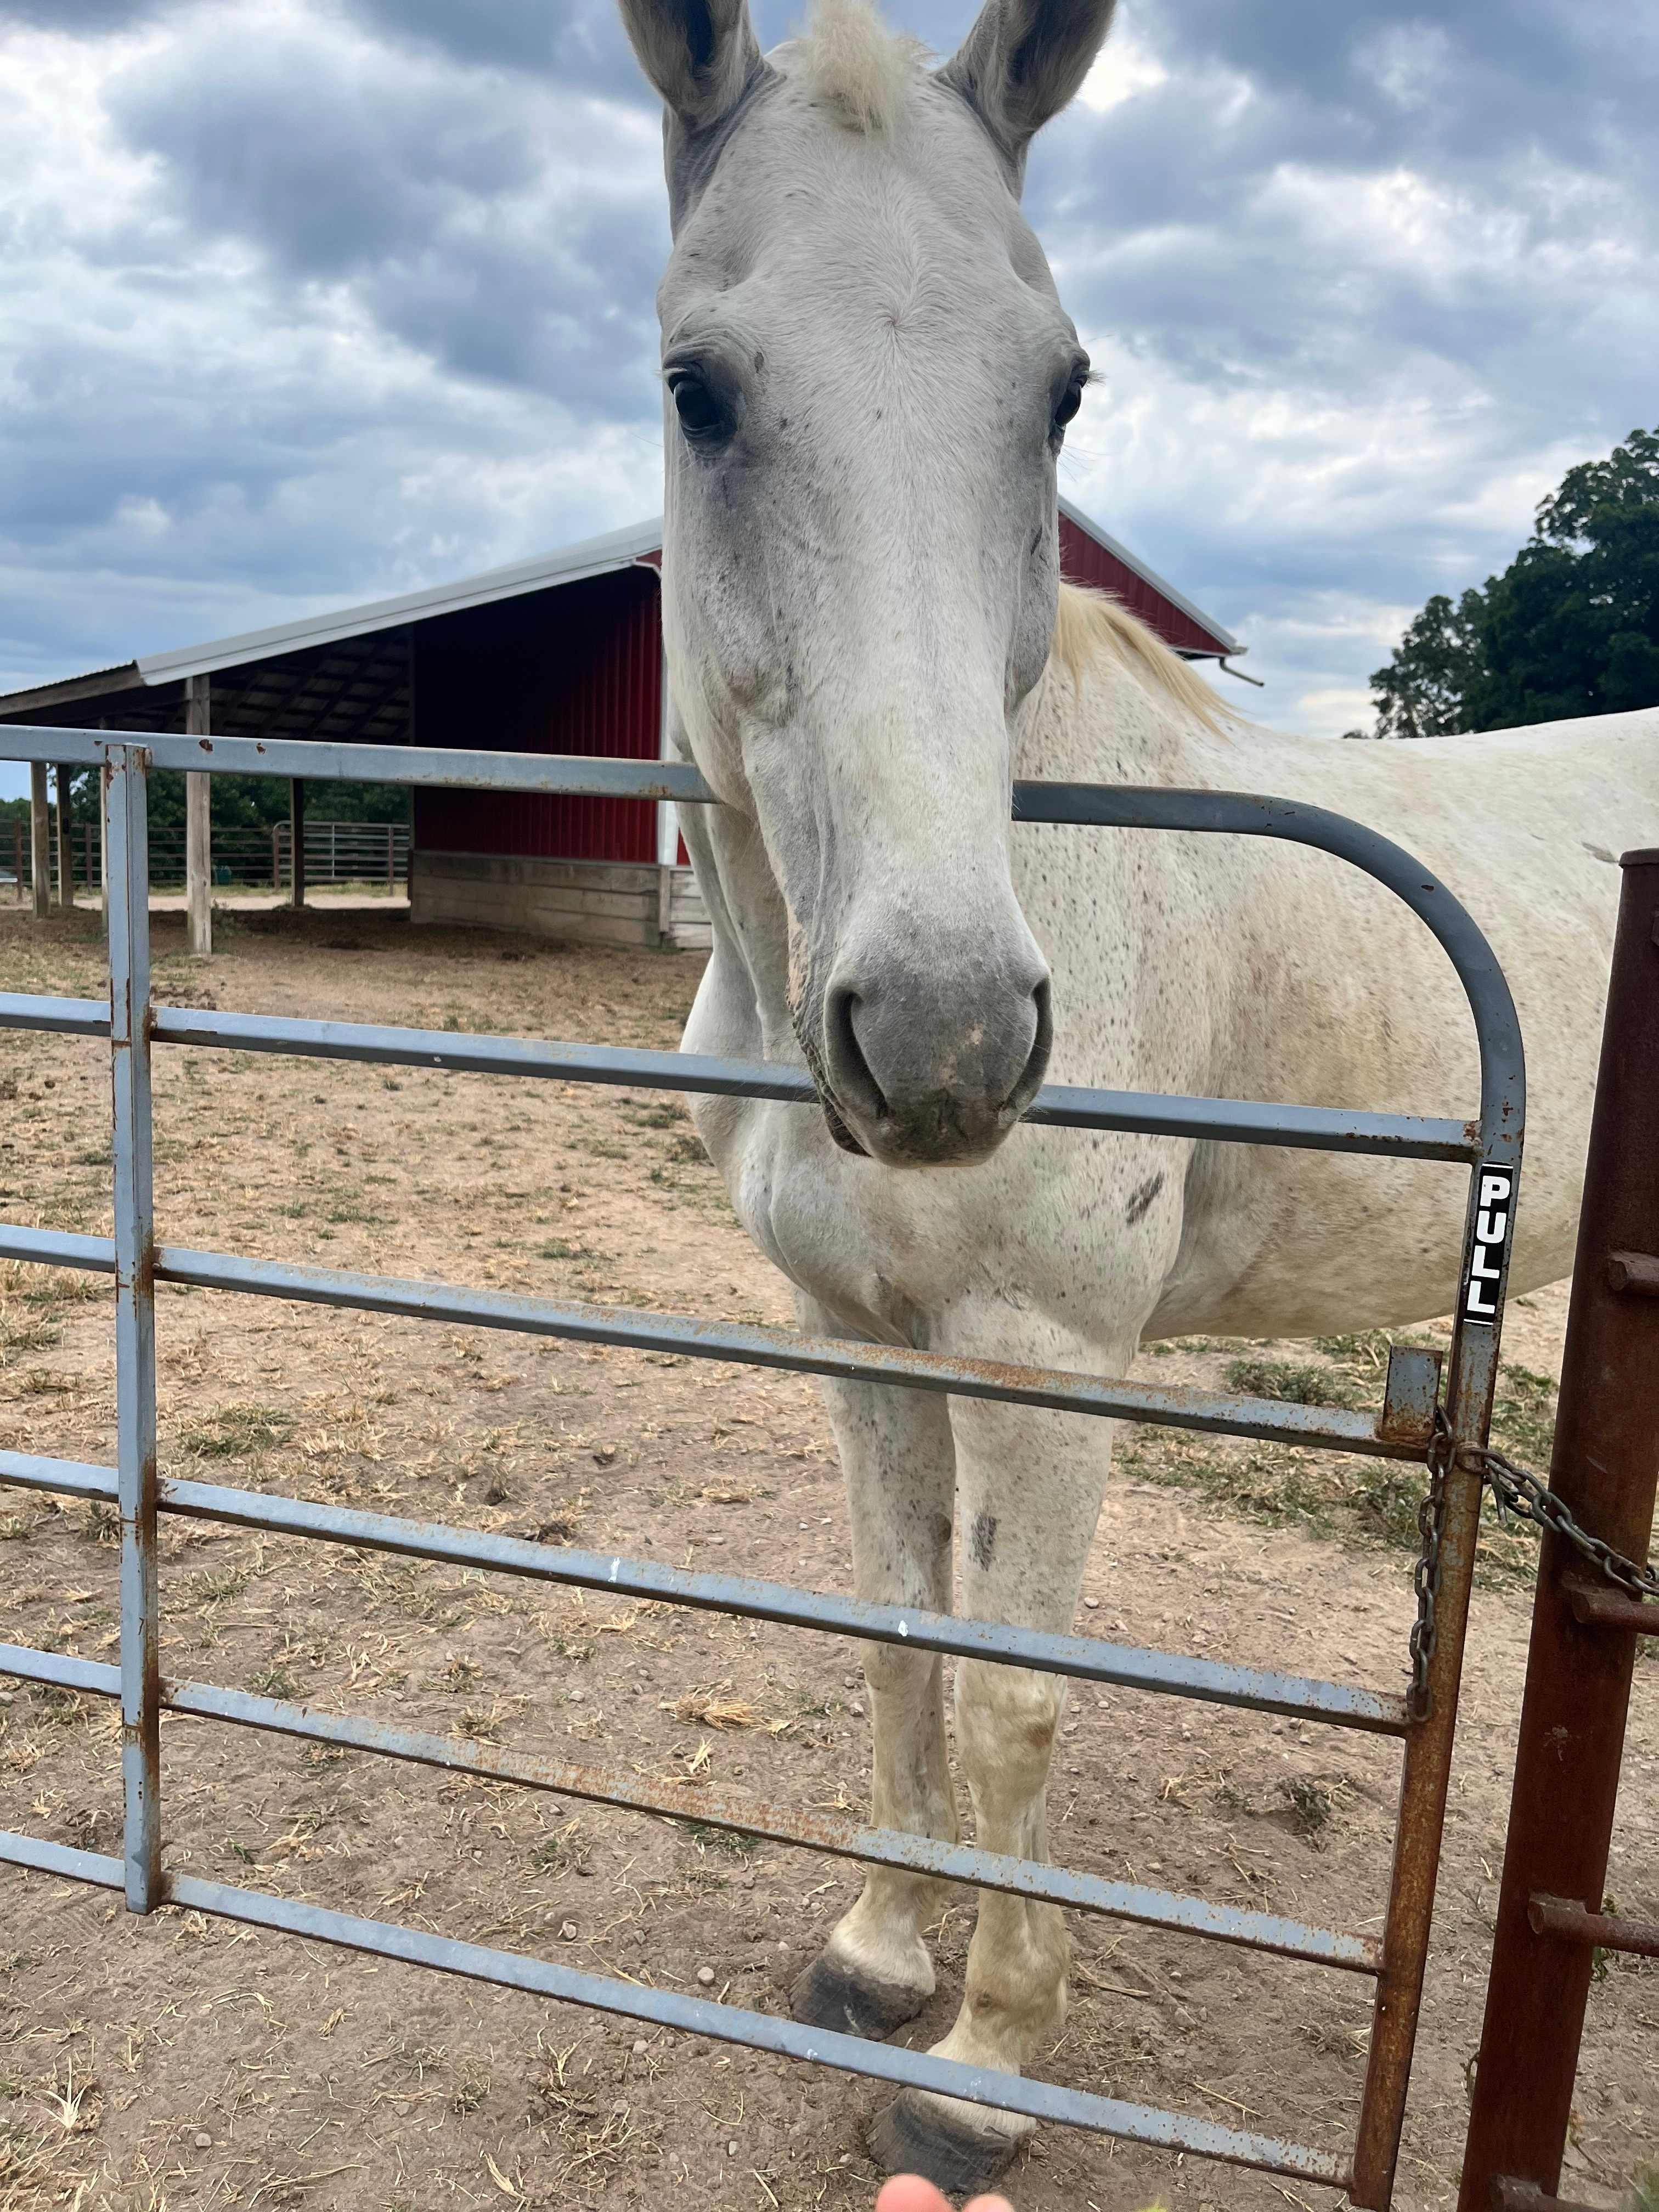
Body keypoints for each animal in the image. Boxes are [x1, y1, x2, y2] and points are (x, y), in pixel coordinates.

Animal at [614, 0, 1659, 2186]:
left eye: (1061, 395)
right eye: (700, 388)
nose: (941, 1039)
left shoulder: (1044, 1353)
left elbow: (1016, 1693)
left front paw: (984, 2066)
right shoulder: (858, 1331)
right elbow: (899, 1631)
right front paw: (874, 1955)